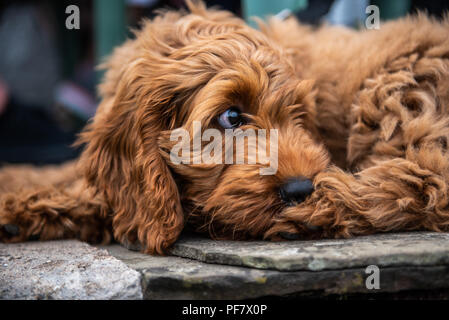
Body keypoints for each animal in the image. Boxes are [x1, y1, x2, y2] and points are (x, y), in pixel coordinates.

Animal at [0, 0, 448, 255]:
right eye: (231, 117)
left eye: (298, 116)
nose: (301, 188)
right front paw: (22, 197)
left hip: (393, 93)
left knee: (425, 183)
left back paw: (320, 209)